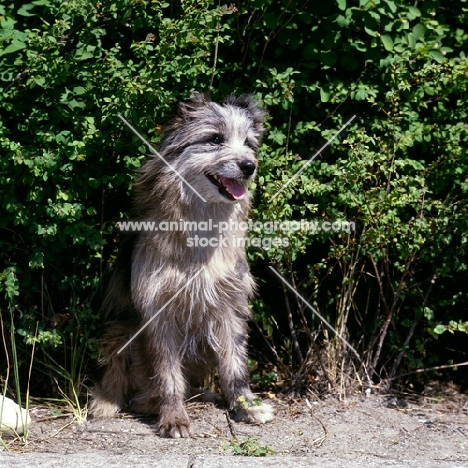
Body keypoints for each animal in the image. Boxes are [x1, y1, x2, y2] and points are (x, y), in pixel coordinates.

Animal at [89, 92, 274, 438]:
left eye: (248, 143)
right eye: (215, 139)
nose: (250, 166)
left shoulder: (229, 303)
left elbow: (235, 364)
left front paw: (246, 407)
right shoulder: (158, 310)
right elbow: (167, 373)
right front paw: (173, 416)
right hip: (120, 330)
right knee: (120, 379)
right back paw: (117, 402)